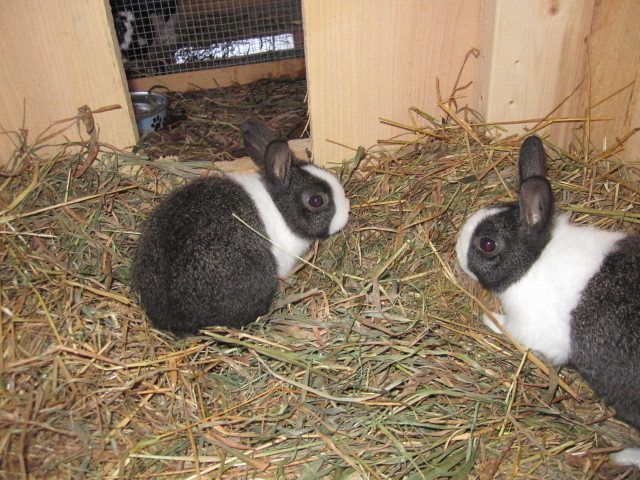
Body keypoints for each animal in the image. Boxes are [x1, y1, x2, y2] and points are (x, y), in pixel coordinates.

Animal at [455, 135, 640, 467]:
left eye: (487, 245)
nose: (455, 250)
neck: (535, 259)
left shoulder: (532, 328)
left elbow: (509, 328)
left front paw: (488, 317)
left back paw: (624, 457)